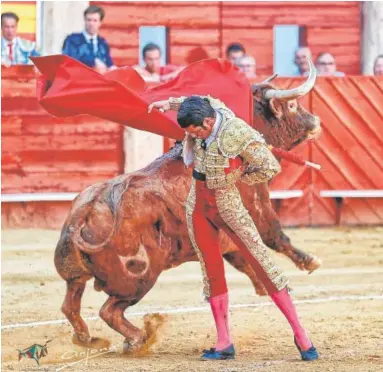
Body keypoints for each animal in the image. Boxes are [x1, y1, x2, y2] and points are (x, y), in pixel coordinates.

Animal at [55, 74, 322, 354]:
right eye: (292, 106)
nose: (316, 121)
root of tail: (85, 212)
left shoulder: (227, 237)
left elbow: (243, 262)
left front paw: (260, 286)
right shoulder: (259, 211)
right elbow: (277, 238)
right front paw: (310, 261)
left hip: (76, 275)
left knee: (71, 304)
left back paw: (88, 339)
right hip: (137, 281)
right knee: (110, 311)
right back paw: (138, 338)